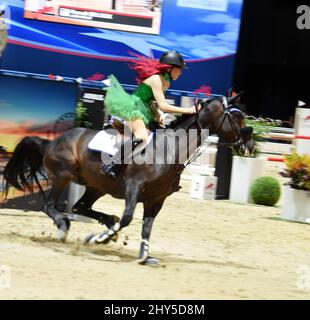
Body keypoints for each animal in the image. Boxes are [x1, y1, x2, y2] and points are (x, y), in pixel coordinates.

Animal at [3, 97, 254, 264]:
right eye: (236, 117)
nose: (250, 146)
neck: (169, 151)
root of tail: (52, 142)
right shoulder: (134, 188)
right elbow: (127, 218)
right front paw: (98, 239)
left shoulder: (156, 199)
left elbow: (147, 227)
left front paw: (144, 255)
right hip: (63, 176)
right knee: (50, 206)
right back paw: (65, 226)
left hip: (97, 187)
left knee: (80, 207)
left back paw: (105, 222)